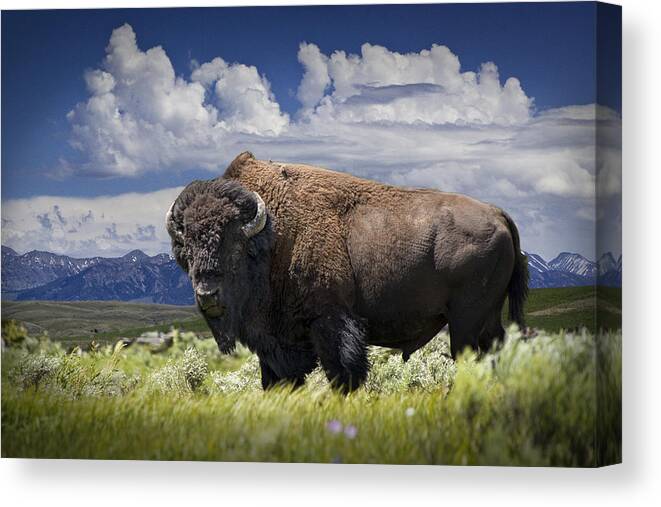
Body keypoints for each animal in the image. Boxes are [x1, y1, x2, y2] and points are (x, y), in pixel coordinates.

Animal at [168, 153, 528, 390]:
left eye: (233, 247)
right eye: (188, 249)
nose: (207, 295)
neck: (272, 234)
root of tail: (498, 214)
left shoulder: (331, 321)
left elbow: (341, 373)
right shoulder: (276, 343)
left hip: (465, 320)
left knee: (469, 357)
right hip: (486, 319)